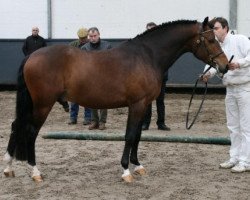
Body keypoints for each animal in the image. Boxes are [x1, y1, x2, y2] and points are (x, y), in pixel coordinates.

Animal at [2, 17, 229, 183]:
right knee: (30, 131)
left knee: (16, 126)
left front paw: (138, 166)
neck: (147, 56)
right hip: (43, 104)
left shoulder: (144, 105)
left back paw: (8, 167)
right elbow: (129, 136)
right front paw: (126, 171)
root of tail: (32, 56)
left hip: (32, 104)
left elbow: (137, 136)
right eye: (211, 40)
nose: (225, 65)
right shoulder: (137, 104)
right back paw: (35, 172)